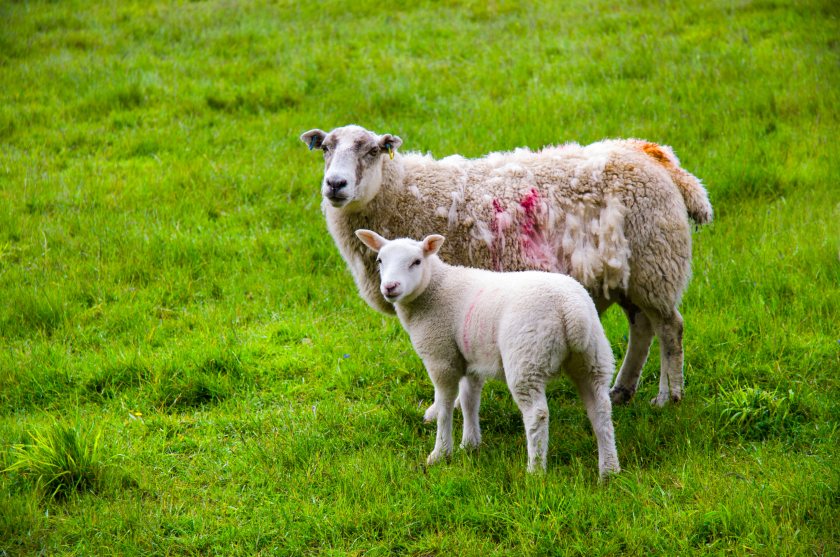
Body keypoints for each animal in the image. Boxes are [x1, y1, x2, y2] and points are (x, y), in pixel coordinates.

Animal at [300, 125, 713, 408]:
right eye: (325, 149)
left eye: (372, 151)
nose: (335, 184)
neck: (403, 192)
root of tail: (654, 154)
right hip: (626, 273)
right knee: (642, 327)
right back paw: (622, 391)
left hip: (655, 263)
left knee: (670, 328)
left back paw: (669, 397)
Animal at [354, 229, 620, 478]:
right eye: (380, 260)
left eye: (416, 262)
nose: (390, 287)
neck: (435, 289)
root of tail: (572, 311)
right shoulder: (471, 358)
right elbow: (470, 400)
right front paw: (470, 444)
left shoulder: (441, 357)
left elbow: (444, 406)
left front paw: (440, 453)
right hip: (593, 357)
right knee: (601, 409)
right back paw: (609, 471)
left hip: (527, 358)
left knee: (537, 415)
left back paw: (535, 471)